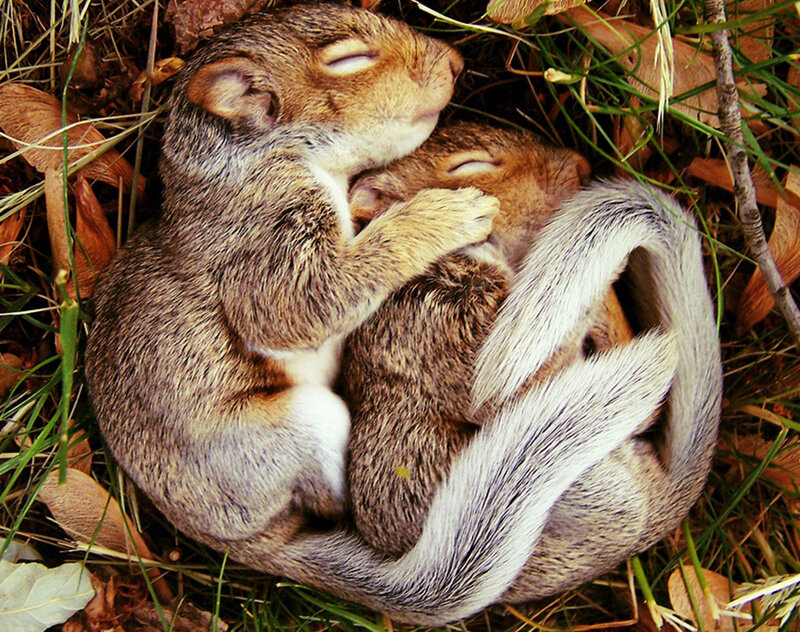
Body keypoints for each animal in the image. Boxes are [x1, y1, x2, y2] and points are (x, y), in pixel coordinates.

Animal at [84, 4, 678, 624]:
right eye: (350, 59)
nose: (456, 60)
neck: (248, 164)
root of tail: (233, 540)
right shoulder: (258, 242)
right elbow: (300, 302)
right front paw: (444, 213)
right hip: (290, 433)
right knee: (331, 496)